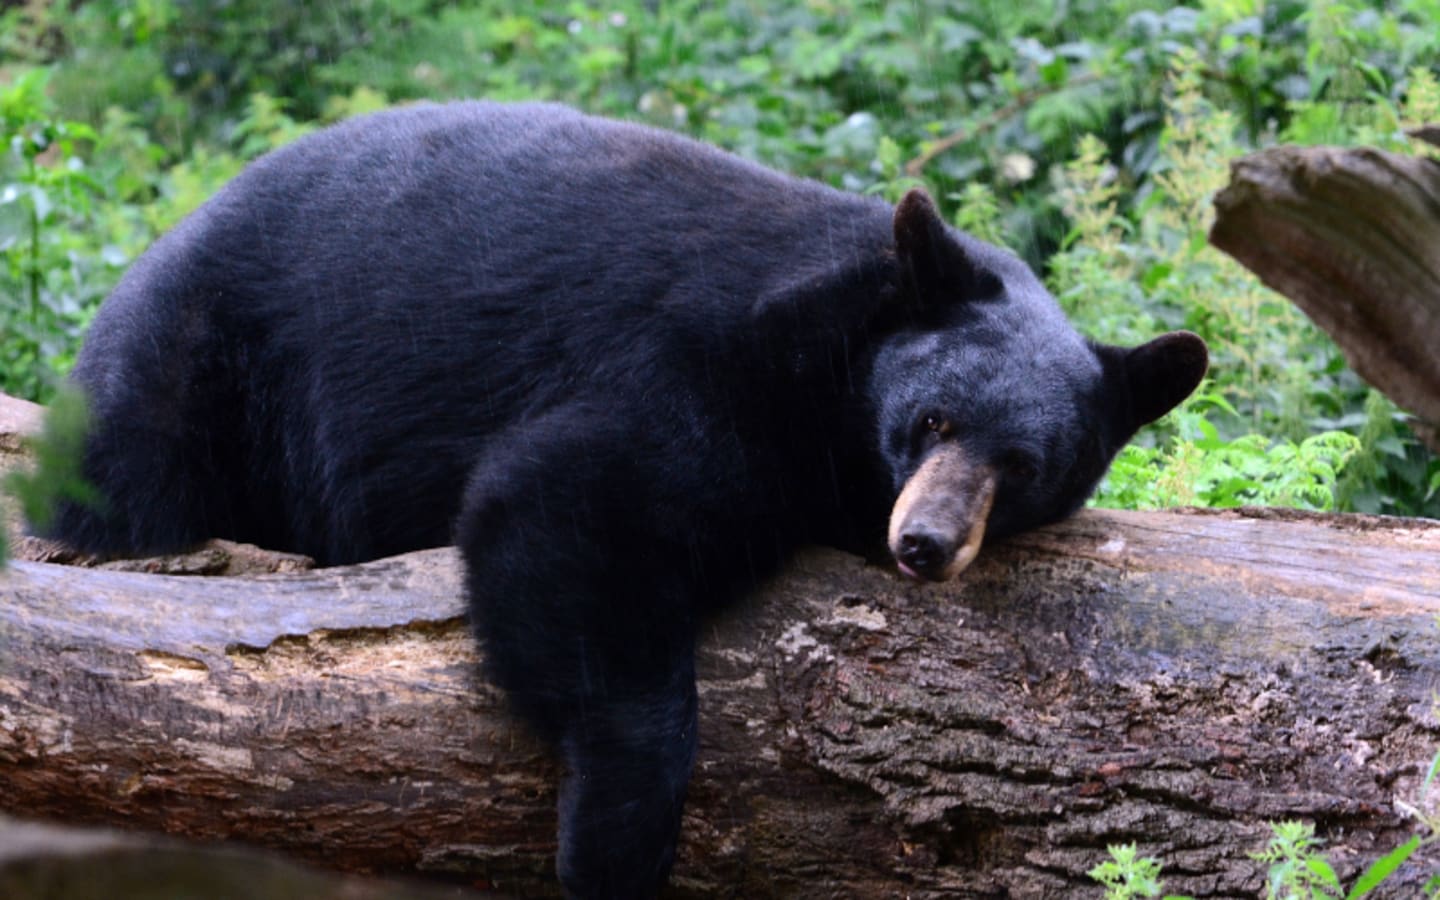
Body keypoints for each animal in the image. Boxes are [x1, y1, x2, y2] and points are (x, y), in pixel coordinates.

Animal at [48, 101, 1208, 897]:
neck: (836, 355)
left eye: (1025, 465)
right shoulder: (705, 364)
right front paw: (616, 841)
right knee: (131, 480)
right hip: (200, 362)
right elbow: (568, 504)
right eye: (932, 421)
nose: (924, 542)